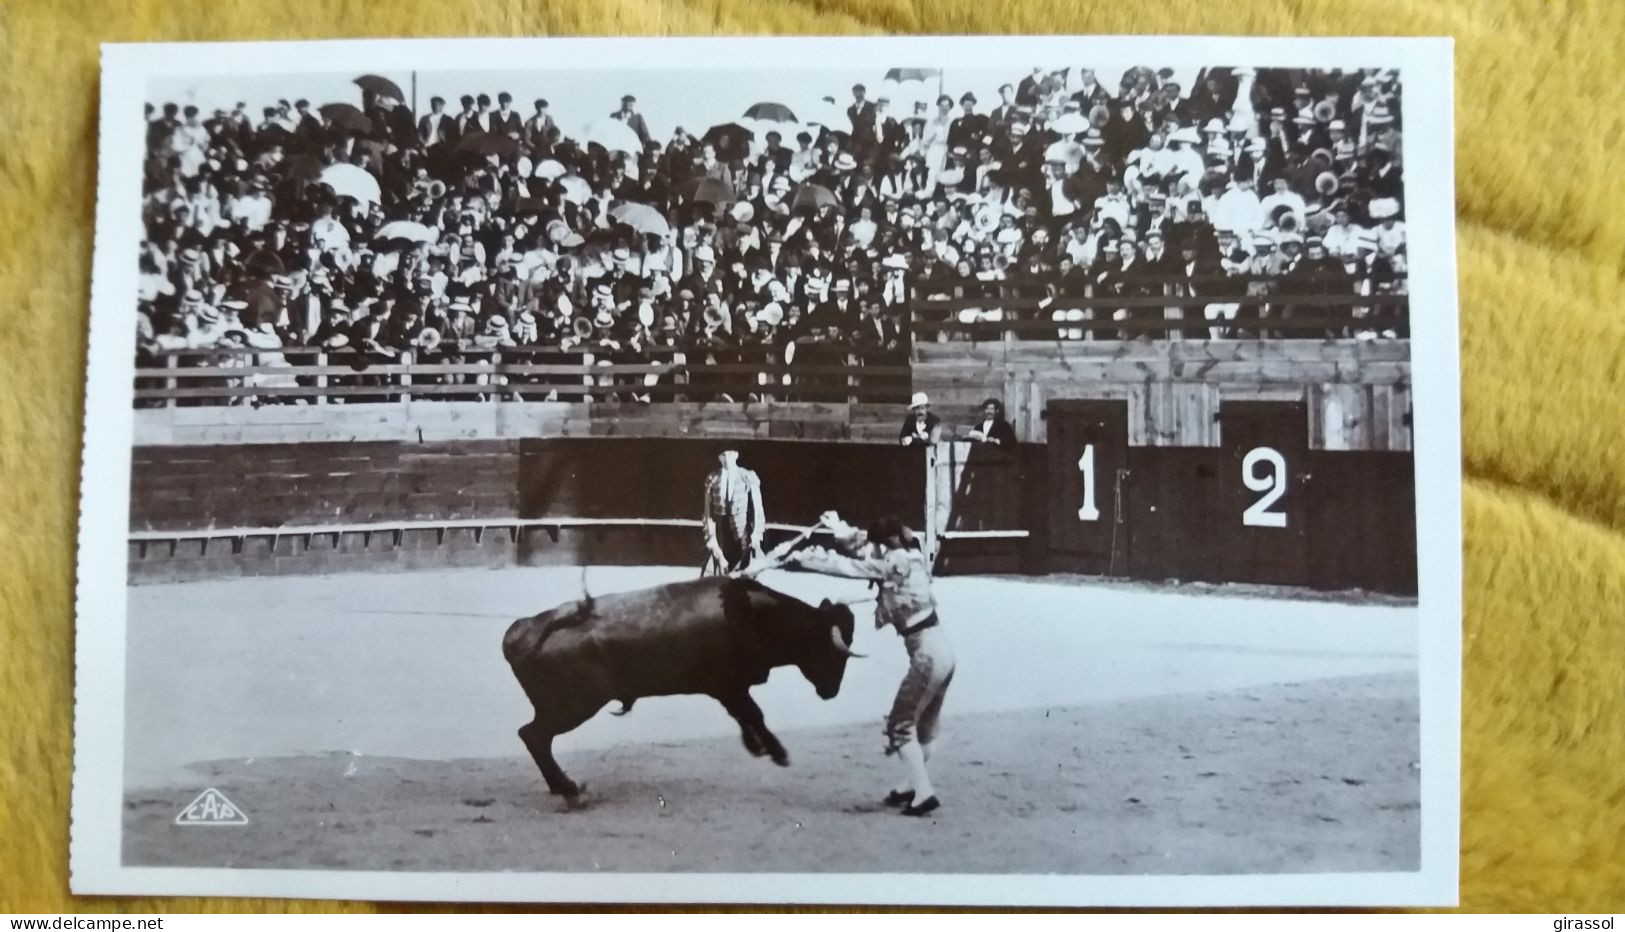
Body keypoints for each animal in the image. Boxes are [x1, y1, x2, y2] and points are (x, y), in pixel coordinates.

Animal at [500, 578, 864, 805]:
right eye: (830, 650)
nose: (830, 692)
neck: (750, 614)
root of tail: (521, 631)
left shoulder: (729, 689)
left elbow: (745, 716)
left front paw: (757, 746)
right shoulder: (728, 685)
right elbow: (754, 714)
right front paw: (777, 752)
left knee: (533, 736)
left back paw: (561, 787)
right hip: (573, 707)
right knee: (533, 735)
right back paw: (569, 789)